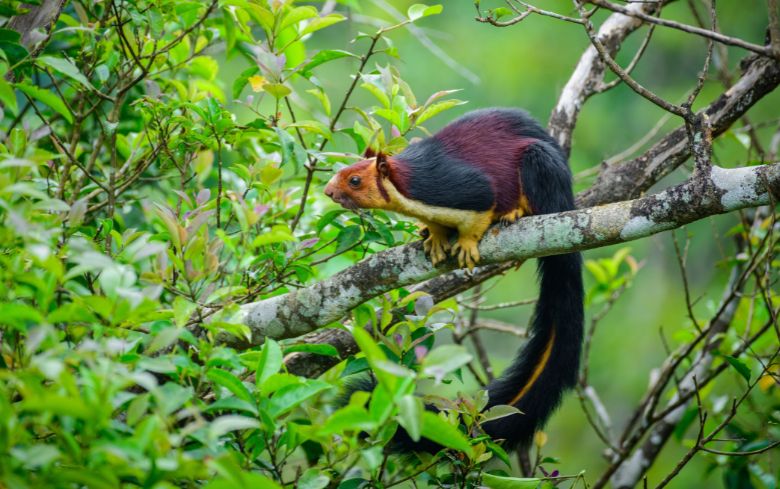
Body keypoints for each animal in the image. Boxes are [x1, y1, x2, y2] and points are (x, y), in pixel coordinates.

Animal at [324, 108, 584, 449]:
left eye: (354, 180)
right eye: (342, 170)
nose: (328, 191)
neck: (408, 186)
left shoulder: (462, 187)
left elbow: (482, 207)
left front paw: (468, 243)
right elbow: (436, 224)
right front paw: (434, 236)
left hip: (542, 166)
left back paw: (516, 213)